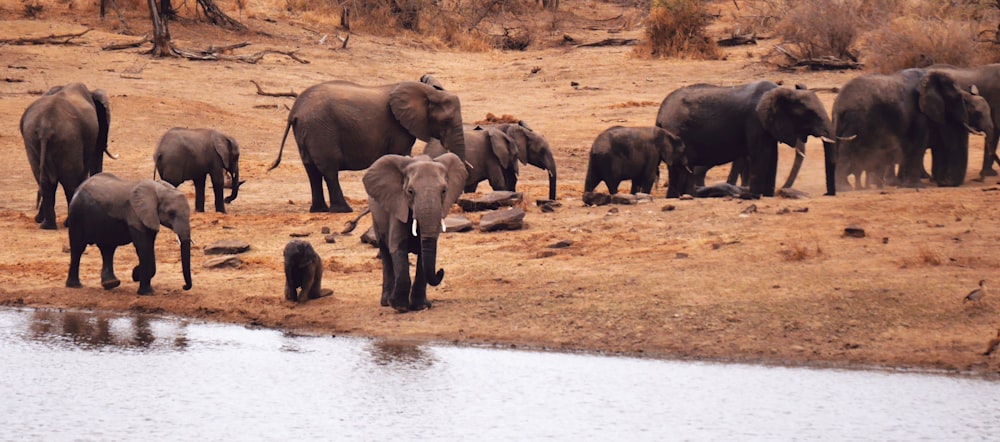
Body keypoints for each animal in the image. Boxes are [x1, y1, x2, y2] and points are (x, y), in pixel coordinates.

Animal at [19, 80, 113, 230]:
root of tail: (46, 127)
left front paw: (38, 219)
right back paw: (69, 224)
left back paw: (47, 226)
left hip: (32, 139)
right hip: (69, 140)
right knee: (70, 182)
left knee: (44, 181)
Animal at [268, 80, 466, 213]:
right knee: (329, 169)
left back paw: (319, 210)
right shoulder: (399, 127)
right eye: (446, 121)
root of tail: (295, 110)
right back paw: (343, 210)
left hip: (307, 131)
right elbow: (400, 155)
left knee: (311, 171)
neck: (427, 91)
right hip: (321, 129)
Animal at [362, 154, 466, 312]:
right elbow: (398, 248)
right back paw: (386, 302)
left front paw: (421, 306)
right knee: (386, 254)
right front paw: (400, 307)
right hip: (377, 218)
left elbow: (424, 254)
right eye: (410, 191)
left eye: (444, 191)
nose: (441, 271)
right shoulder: (398, 207)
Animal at [652, 81, 840, 199]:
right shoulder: (754, 121)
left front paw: (767, 196)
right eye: (811, 114)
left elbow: (773, 158)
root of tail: (661, 113)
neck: (781, 90)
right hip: (677, 133)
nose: (827, 194)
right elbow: (761, 155)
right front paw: (754, 196)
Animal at [832, 68, 988, 189]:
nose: (945, 183)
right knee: (847, 148)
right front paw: (915, 187)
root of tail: (839, 104)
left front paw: (903, 184)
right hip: (855, 121)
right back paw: (845, 188)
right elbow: (918, 144)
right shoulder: (918, 113)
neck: (928, 76)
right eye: (957, 98)